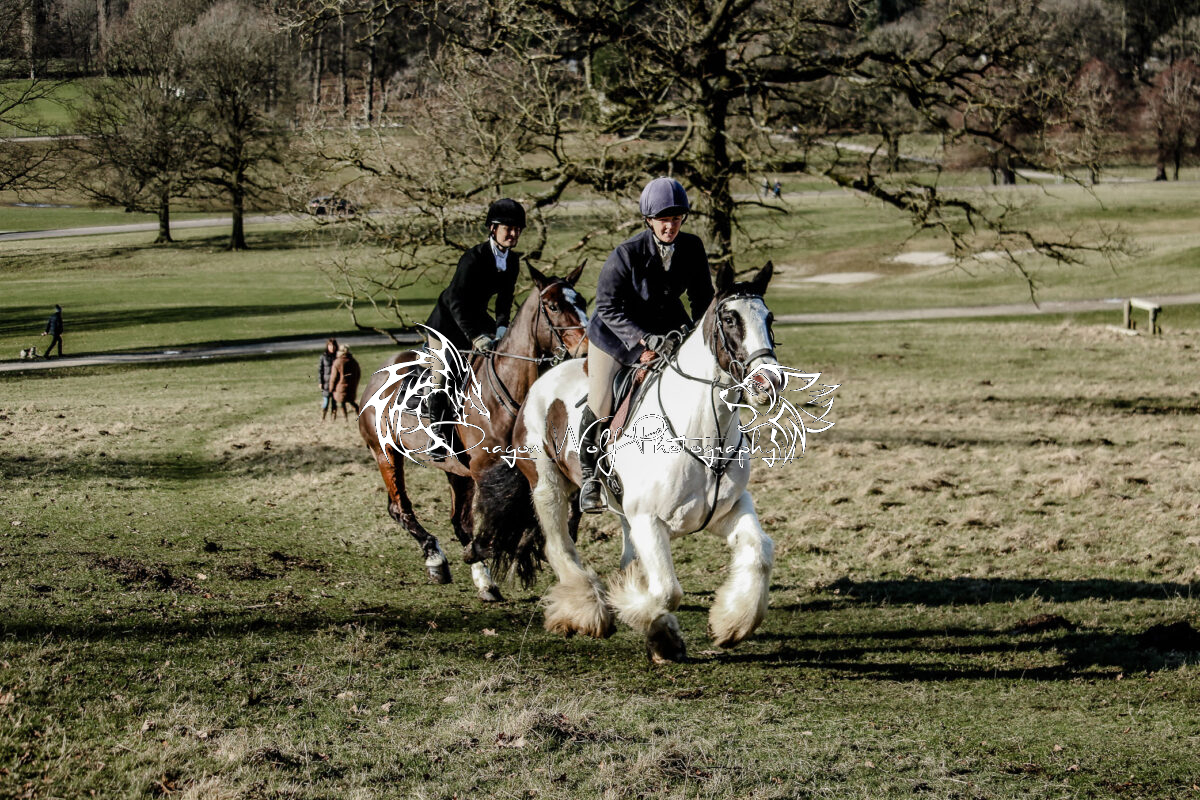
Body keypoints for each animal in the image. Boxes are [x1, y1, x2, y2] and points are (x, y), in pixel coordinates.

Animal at [358, 263, 588, 601]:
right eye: (554, 306)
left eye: (582, 301)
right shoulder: (487, 471)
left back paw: (482, 579)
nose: (586, 347)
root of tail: (380, 374)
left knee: (458, 521)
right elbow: (502, 521)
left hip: (456, 471)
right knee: (401, 508)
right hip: (385, 453)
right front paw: (516, 553)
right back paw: (437, 559)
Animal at [515, 261, 834, 662]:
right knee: (558, 545)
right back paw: (586, 611)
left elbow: (760, 552)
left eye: (769, 318)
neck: (702, 430)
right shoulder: (648, 520)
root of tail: (549, 373)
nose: (768, 383)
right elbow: (667, 590)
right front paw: (639, 610)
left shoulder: (726, 510)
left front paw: (731, 624)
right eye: (729, 319)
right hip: (547, 485)